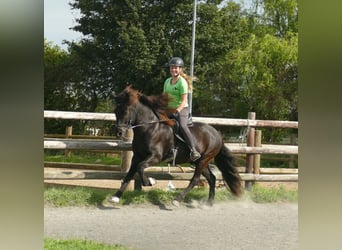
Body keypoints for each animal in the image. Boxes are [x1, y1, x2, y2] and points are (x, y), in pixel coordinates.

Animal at [111, 85, 242, 206]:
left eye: (125, 111)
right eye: (115, 111)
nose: (118, 132)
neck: (150, 128)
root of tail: (217, 134)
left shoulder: (156, 157)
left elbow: (140, 167)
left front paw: (151, 182)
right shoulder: (137, 157)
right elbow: (129, 174)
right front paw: (116, 197)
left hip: (204, 159)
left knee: (195, 179)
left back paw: (177, 200)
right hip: (200, 161)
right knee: (212, 179)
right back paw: (209, 202)